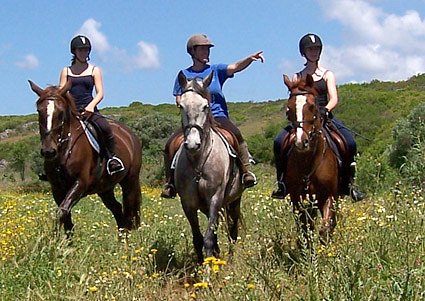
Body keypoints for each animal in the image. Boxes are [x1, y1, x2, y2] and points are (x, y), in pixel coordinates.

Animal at [28, 81, 141, 236]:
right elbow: (65, 217)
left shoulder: (80, 183)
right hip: (105, 188)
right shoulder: (57, 188)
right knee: (118, 210)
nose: (49, 151)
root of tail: (130, 134)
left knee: (129, 213)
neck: (65, 150)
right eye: (39, 111)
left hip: (130, 181)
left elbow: (62, 211)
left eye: (61, 113)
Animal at [282, 74, 338, 240]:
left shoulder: (329, 196)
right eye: (288, 109)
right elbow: (305, 232)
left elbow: (324, 230)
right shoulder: (297, 199)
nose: (301, 142)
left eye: (312, 106)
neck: (308, 162)